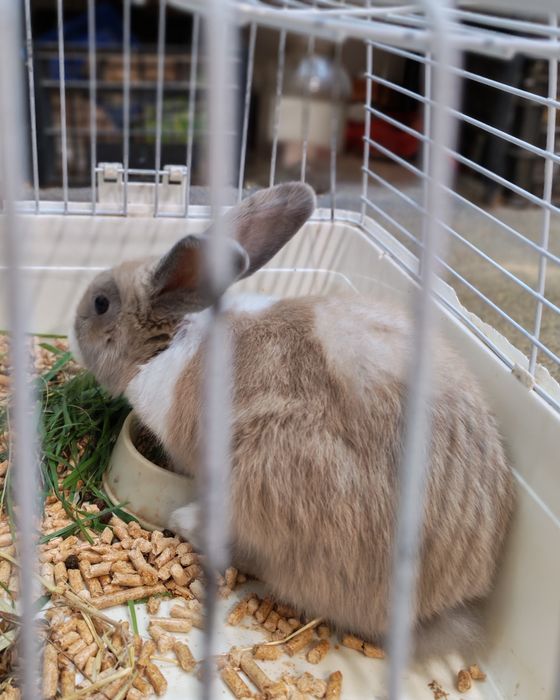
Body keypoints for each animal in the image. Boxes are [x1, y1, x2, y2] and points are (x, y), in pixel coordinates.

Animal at [70, 182, 515, 652]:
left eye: (101, 303)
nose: (74, 324)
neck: (173, 338)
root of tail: (442, 600)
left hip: (263, 478)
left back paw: (184, 521)